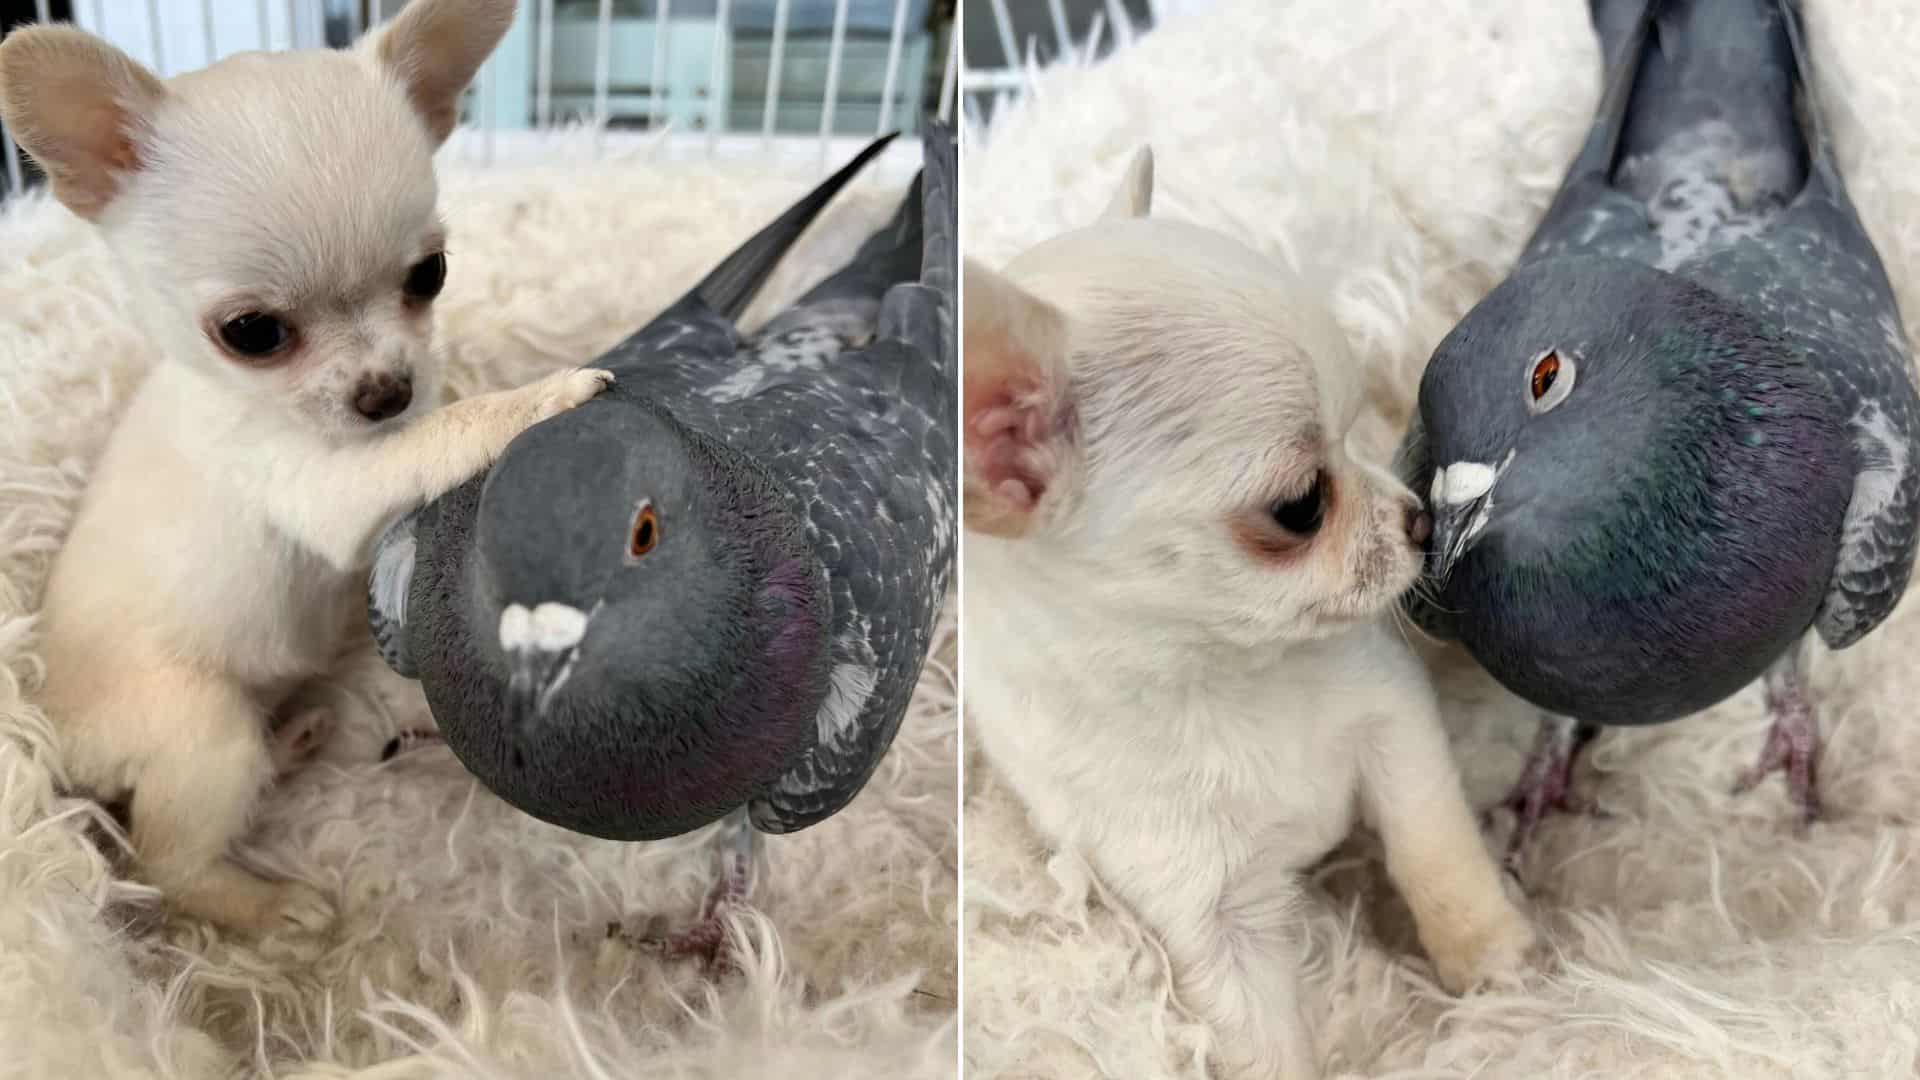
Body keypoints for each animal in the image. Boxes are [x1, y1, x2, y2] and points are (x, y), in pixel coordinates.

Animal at [0, 0, 606, 926]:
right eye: (252, 333)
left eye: (430, 274)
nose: (386, 389)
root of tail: (55, 740)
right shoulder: (326, 490)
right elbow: (438, 437)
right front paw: (538, 397)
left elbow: (432, 424)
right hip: (202, 730)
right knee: (168, 859)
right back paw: (269, 907)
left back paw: (292, 739)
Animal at [967, 153, 1536, 1076]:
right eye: (1301, 506)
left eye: (1356, 439)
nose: (1418, 518)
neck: (1218, 678)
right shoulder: (1205, 918)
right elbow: (1264, 1044)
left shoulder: (1394, 725)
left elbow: (1434, 849)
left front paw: (1490, 961)